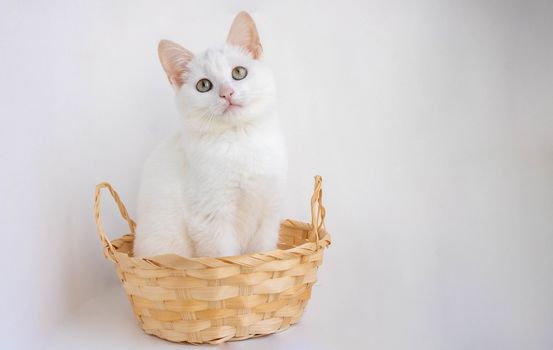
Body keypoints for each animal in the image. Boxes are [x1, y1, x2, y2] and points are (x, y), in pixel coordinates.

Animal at [133, 11, 286, 258]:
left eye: (238, 72)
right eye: (204, 85)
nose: (227, 93)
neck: (240, 140)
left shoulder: (269, 214)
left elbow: (263, 254)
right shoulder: (211, 220)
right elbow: (224, 257)